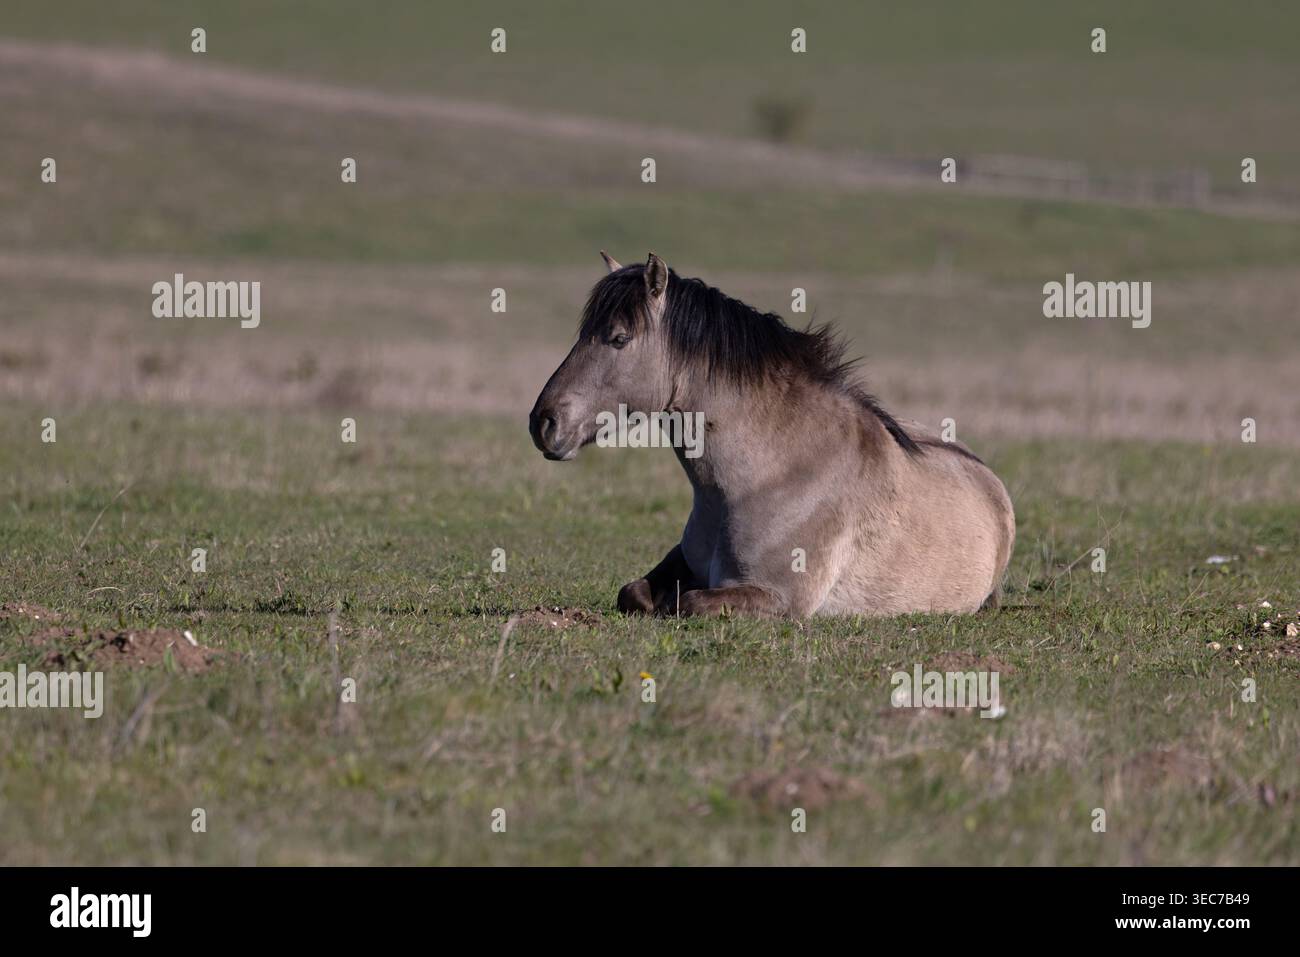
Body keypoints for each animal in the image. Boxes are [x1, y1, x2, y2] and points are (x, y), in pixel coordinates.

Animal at [528, 252, 1016, 618]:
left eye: (619, 338)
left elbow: (692, 603)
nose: (543, 422)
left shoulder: (778, 598)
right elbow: (633, 592)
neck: (766, 474)